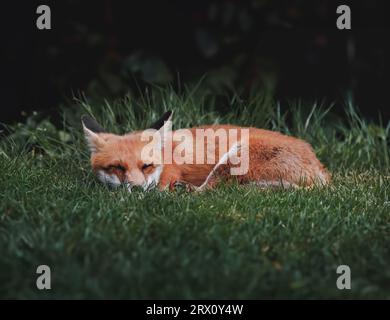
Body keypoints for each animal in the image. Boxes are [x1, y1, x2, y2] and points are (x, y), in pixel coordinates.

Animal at [81, 110, 330, 190]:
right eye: (117, 167)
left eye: (146, 166)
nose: (136, 188)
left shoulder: (165, 180)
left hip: (233, 160)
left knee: (210, 191)